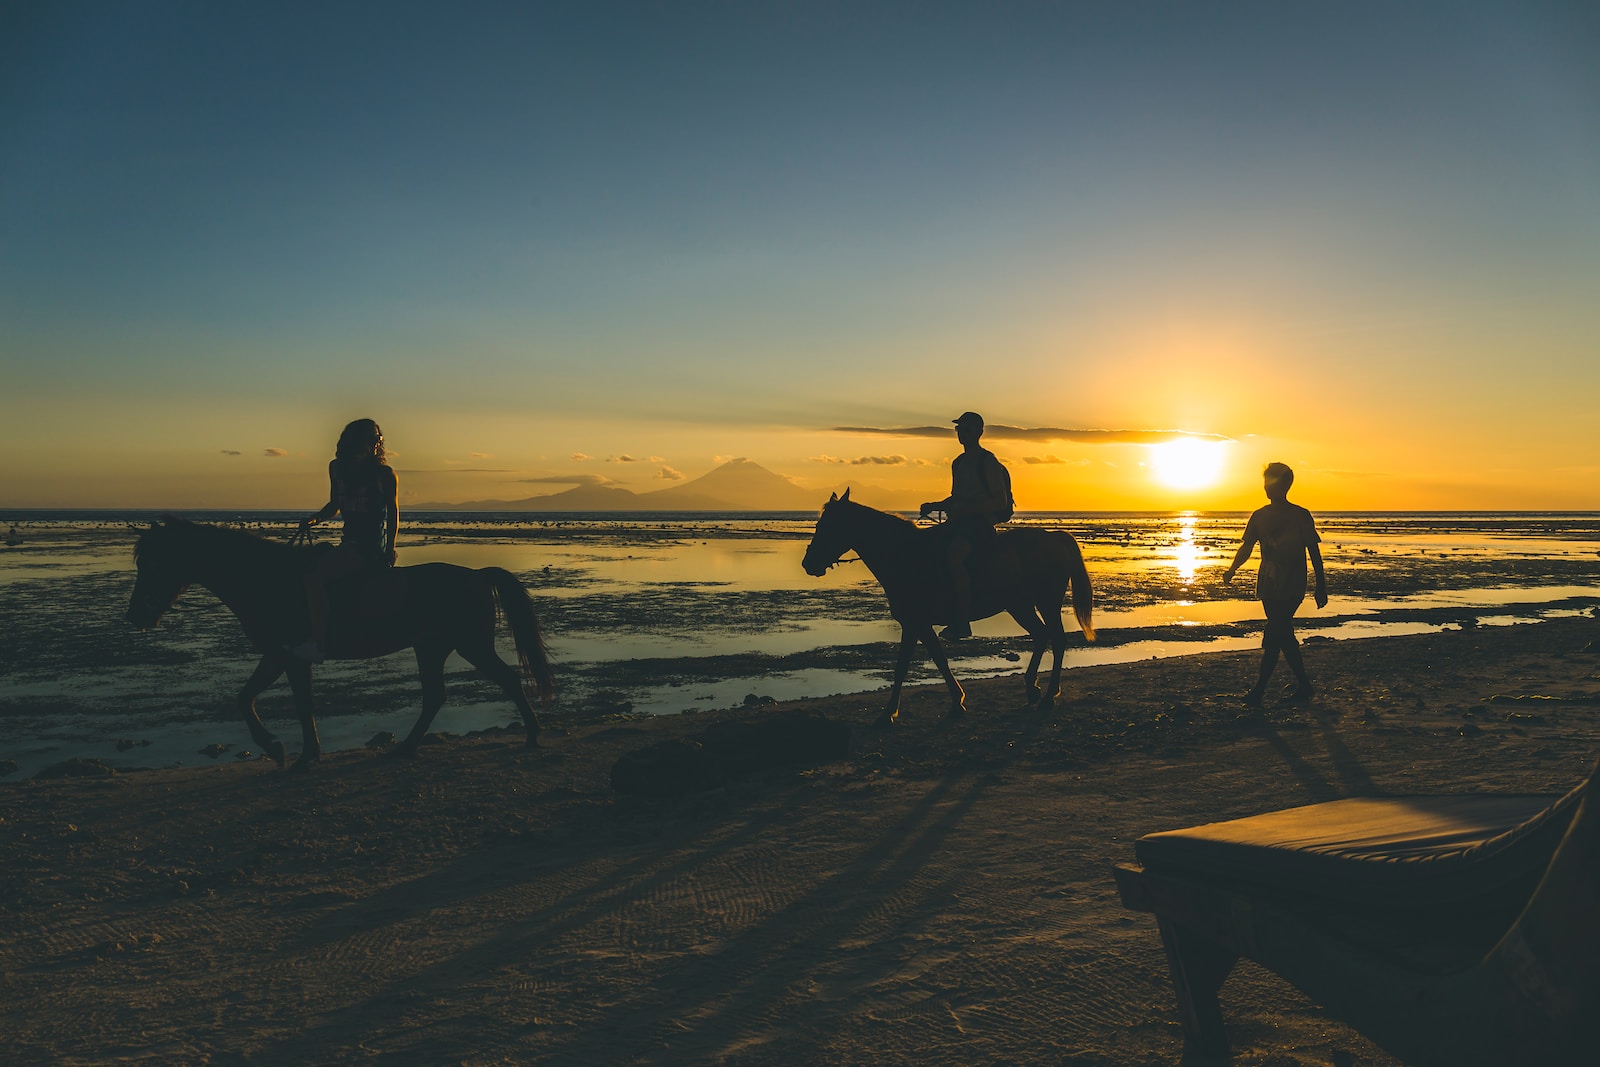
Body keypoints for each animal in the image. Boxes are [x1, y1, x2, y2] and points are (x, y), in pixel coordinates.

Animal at [124, 515, 553, 767]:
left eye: (153, 563)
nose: (135, 616)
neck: (266, 580)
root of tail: (478, 574)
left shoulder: (291, 656)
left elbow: (296, 704)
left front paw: (295, 753)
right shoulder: (279, 655)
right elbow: (247, 699)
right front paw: (281, 749)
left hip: (471, 644)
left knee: (507, 680)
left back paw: (533, 735)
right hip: (431, 647)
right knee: (435, 696)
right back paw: (405, 747)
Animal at [806, 492, 1094, 726]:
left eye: (826, 526)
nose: (807, 563)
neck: (906, 556)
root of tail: (1056, 538)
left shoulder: (914, 623)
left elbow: (903, 667)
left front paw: (887, 714)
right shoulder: (919, 625)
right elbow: (938, 659)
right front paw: (957, 702)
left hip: (1046, 602)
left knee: (1057, 639)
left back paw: (1048, 696)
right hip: (1019, 606)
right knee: (1042, 635)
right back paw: (1031, 687)